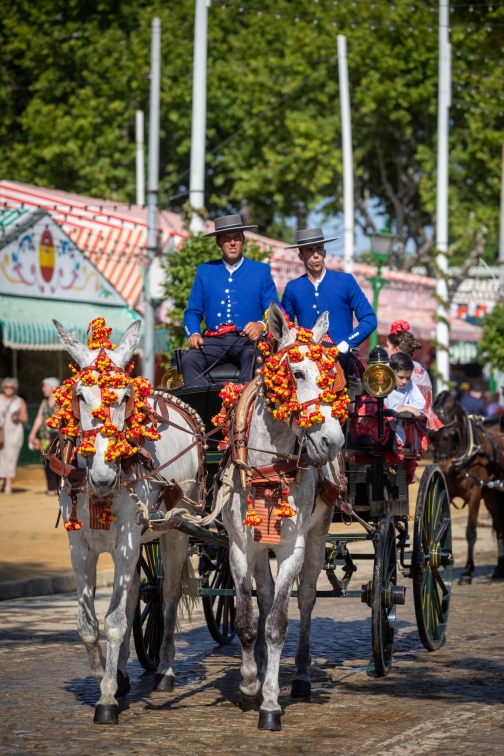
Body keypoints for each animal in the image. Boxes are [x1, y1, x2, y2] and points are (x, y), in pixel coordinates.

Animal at [49, 316, 199, 724]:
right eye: (80, 395)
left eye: (123, 397)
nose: (103, 477)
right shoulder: (80, 548)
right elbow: (89, 625)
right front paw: (106, 679)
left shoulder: (128, 541)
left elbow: (115, 623)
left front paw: (106, 700)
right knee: (134, 596)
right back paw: (121, 673)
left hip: (175, 530)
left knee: (167, 594)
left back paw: (164, 671)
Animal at [430, 390, 504, 584]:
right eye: (431, 436)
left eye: (450, 435)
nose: (444, 466)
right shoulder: (446, 491)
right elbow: (443, 529)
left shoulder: (475, 494)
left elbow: (471, 532)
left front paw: (467, 571)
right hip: (491, 495)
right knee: (499, 526)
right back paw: (499, 567)